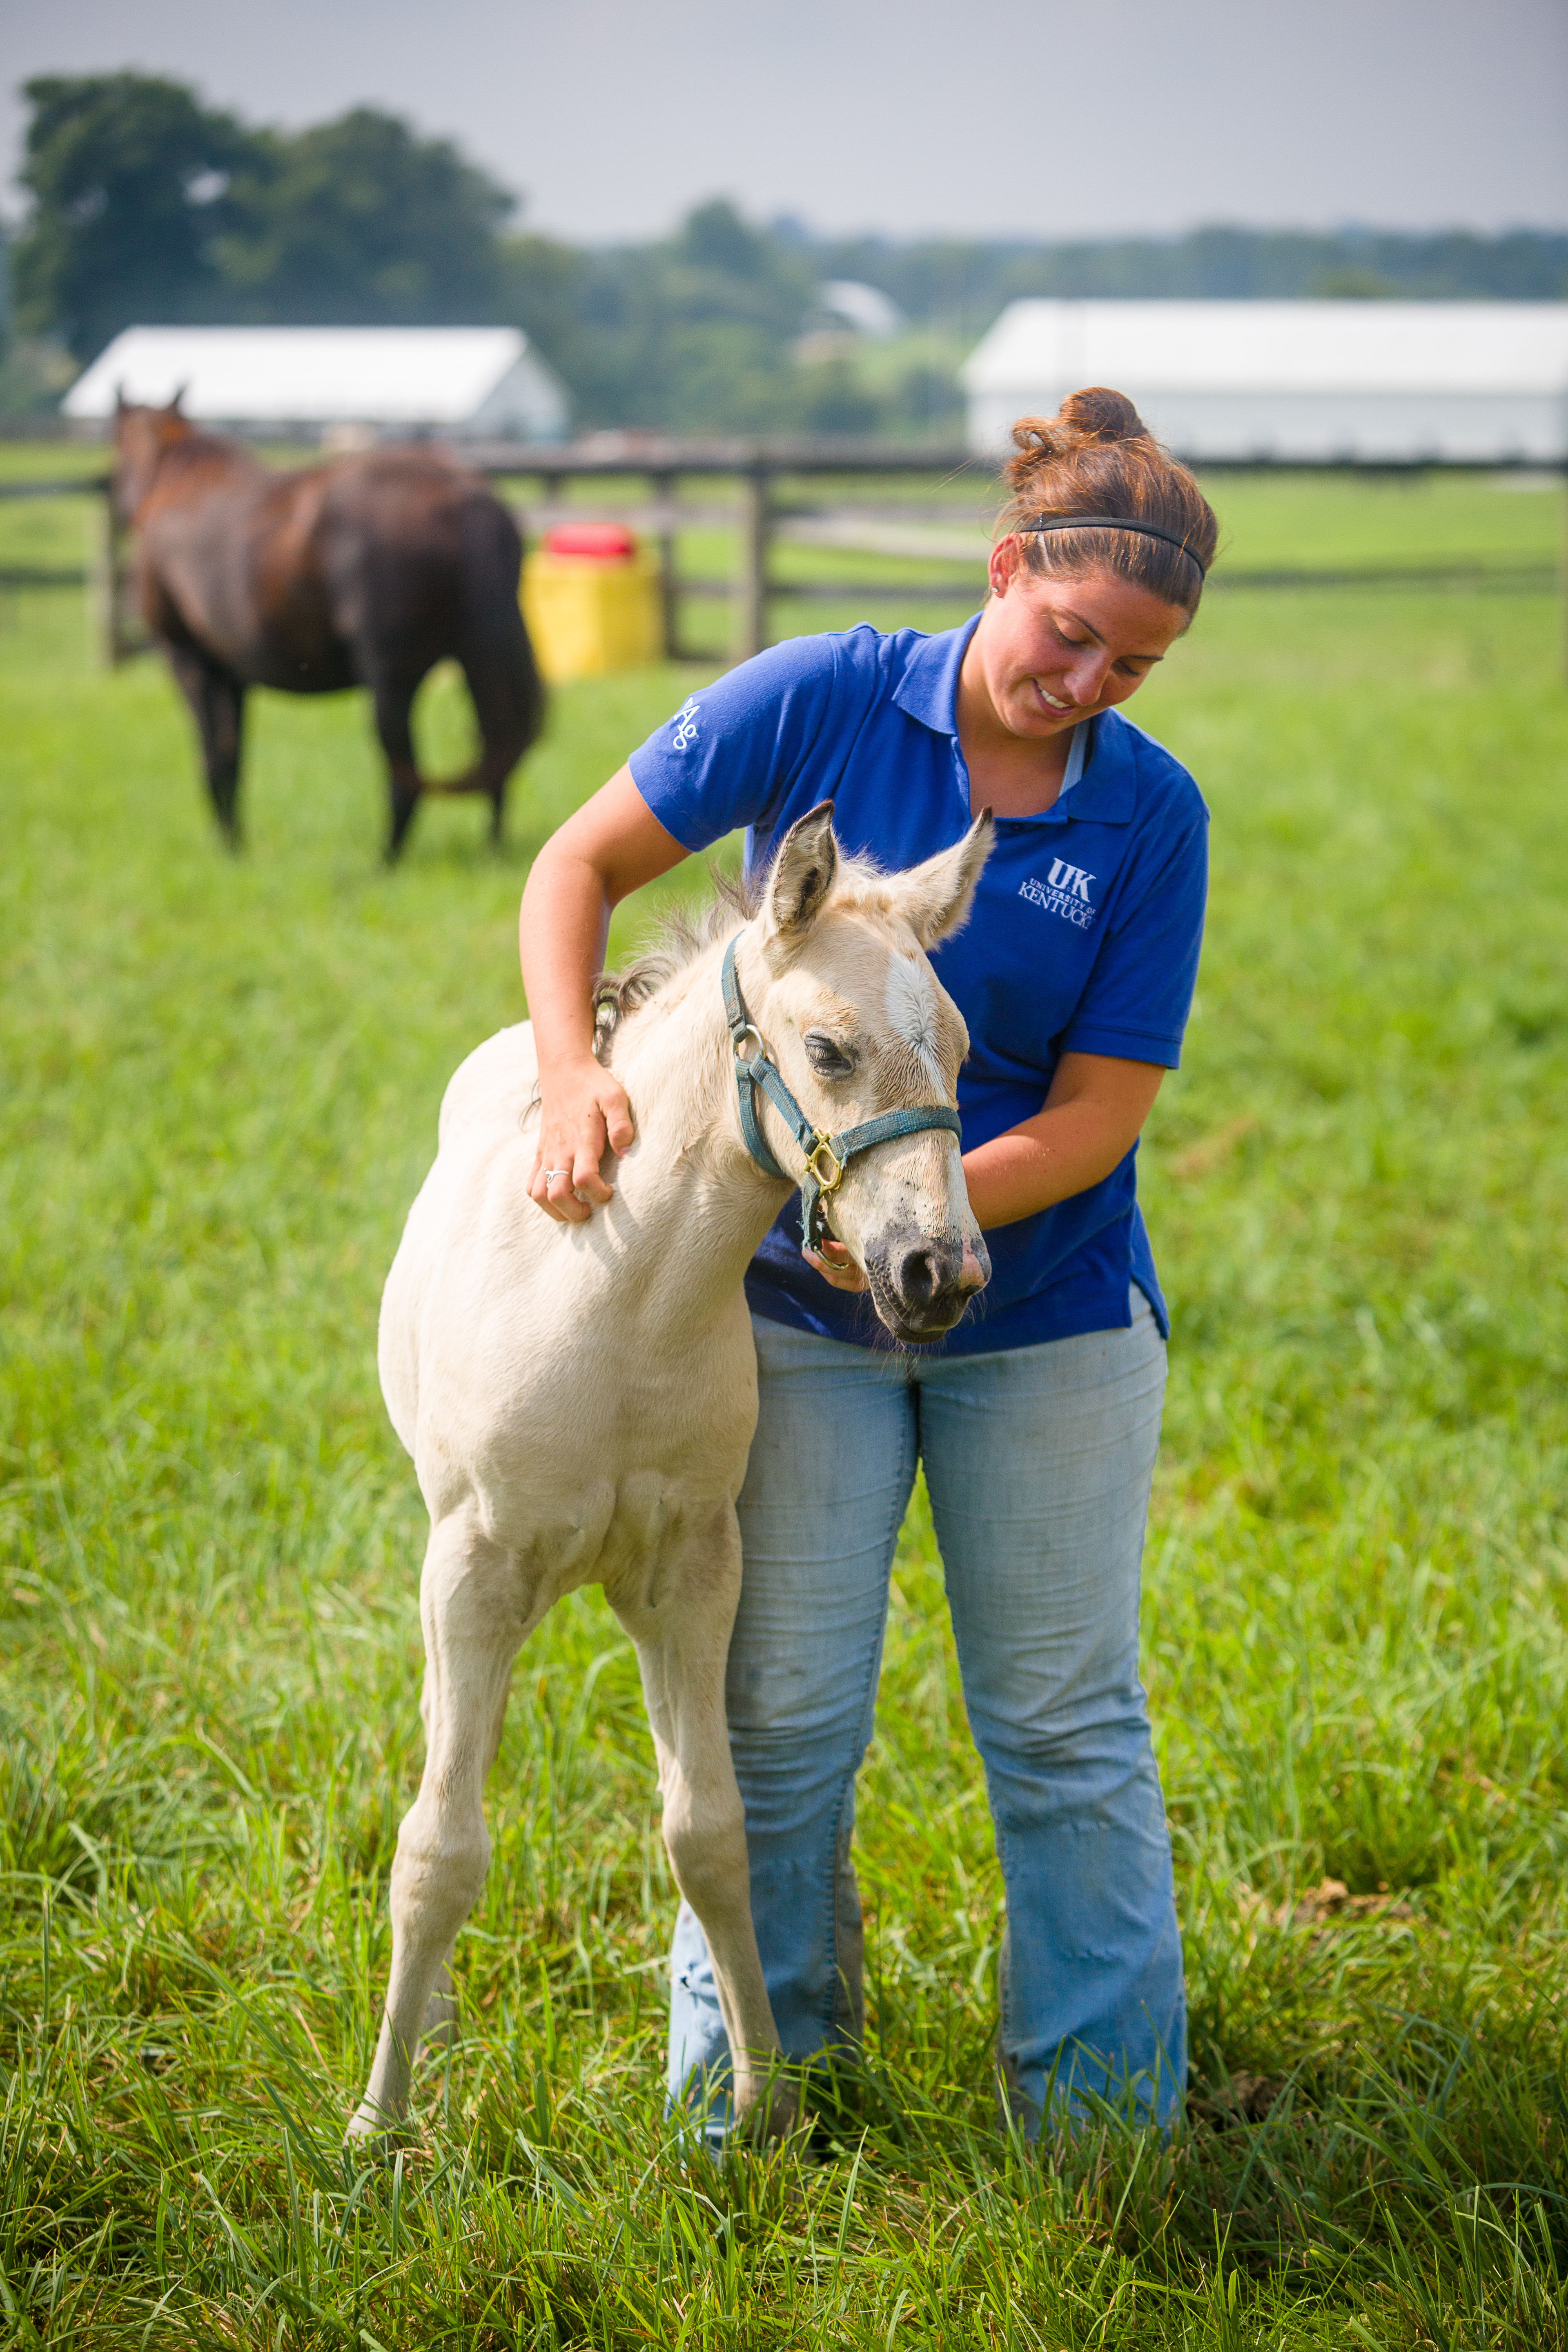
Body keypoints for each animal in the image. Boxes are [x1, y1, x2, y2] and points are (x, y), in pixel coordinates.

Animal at [107, 400, 543, 870]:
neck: (179, 485)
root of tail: (468, 499)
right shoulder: (234, 676)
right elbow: (234, 757)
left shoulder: (189, 661)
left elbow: (215, 759)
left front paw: (230, 848)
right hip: (476, 664)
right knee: (495, 754)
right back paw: (491, 851)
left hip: (392, 686)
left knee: (405, 778)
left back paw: (382, 862)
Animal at [352, 809, 992, 2154]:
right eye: (828, 1050)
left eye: (961, 1048)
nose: (939, 1273)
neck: (617, 1298)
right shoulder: (474, 1568)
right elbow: (439, 1847)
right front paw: (376, 2130)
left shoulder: (693, 1572)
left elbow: (710, 1833)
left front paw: (760, 2103)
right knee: (440, 1765)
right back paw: (428, 2035)